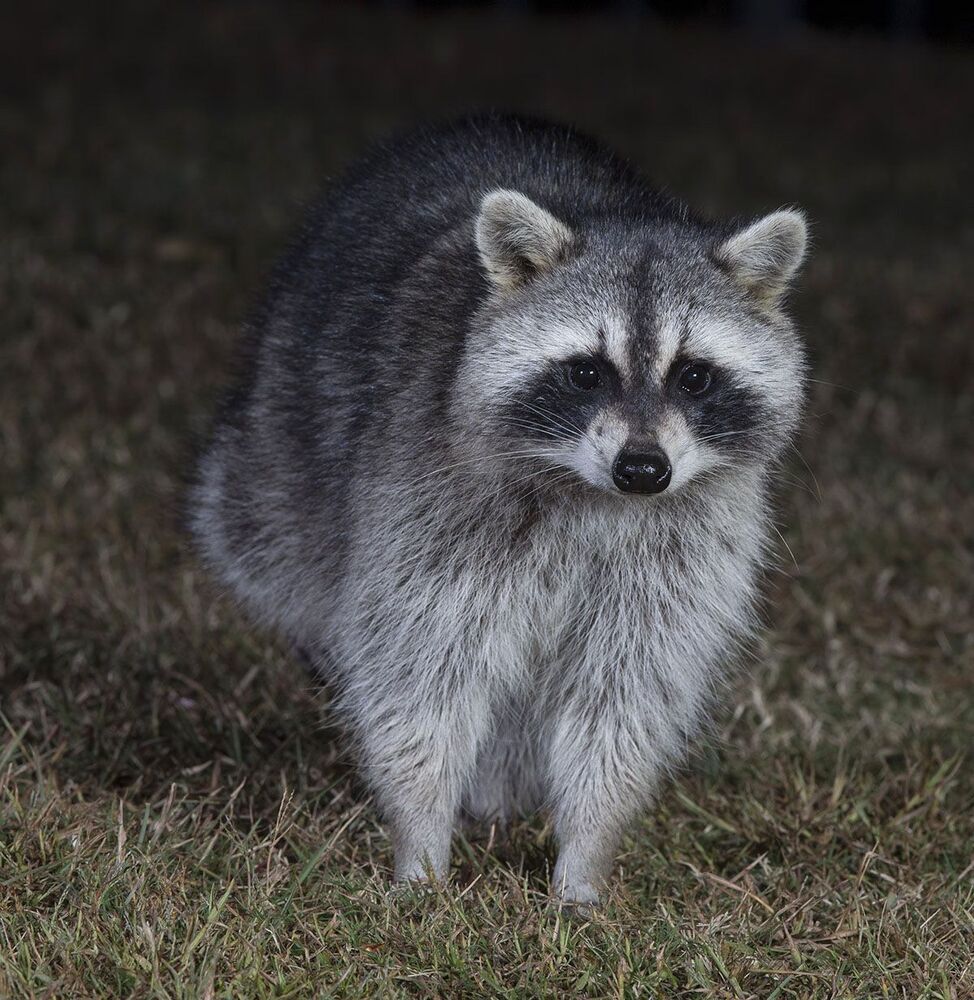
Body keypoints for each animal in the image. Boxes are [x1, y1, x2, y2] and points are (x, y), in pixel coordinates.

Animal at [191, 114, 808, 906]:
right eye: (586, 372)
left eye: (694, 376)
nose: (643, 470)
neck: (593, 493)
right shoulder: (429, 495)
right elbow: (418, 672)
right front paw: (421, 844)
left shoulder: (684, 546)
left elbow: (627, 692)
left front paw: (585, 856)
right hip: (277, 440)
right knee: (279, 556)